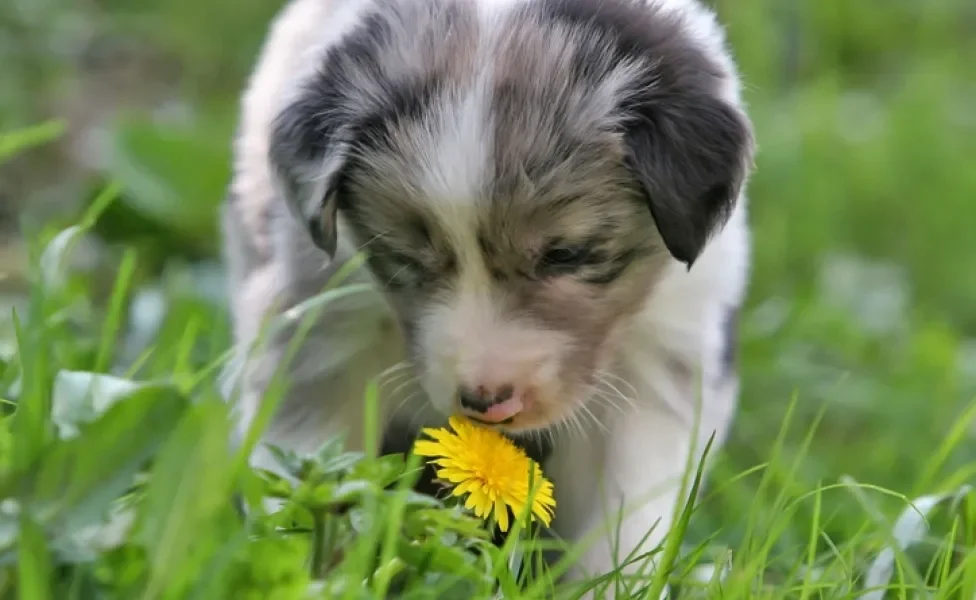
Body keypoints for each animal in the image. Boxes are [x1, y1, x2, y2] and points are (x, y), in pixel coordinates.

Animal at [221, 0, 756, 584]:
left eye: (565, 254)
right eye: (406, 258)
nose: (485, 402)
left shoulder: (658, 360)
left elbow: (621, 525)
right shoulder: (321, 330)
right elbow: (313, 474)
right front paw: (309, 573)